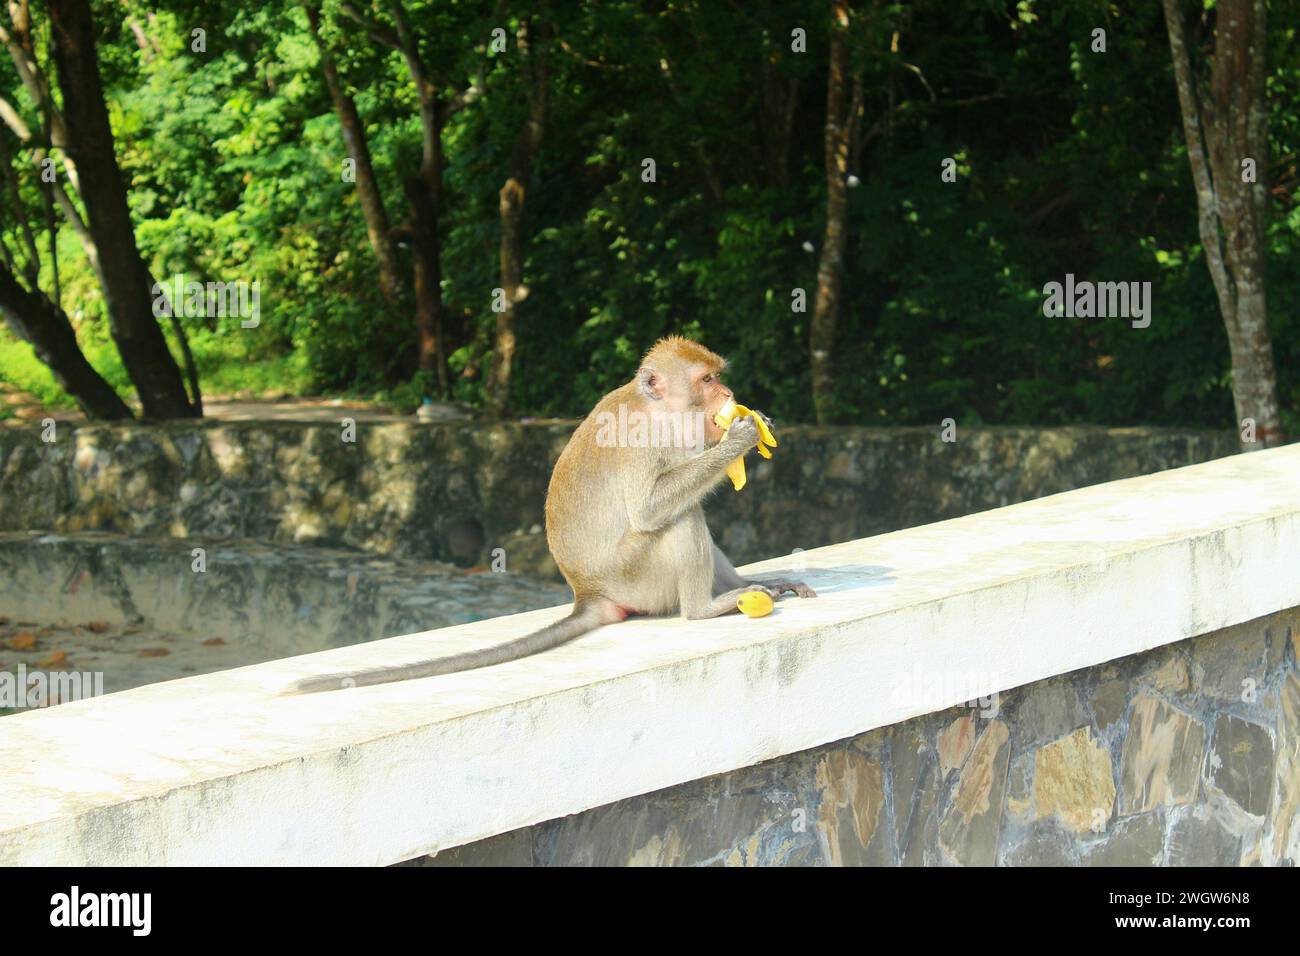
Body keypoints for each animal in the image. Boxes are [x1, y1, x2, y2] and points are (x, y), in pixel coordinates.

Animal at [292, 338, 811, 697]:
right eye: (706, 380)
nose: (728, 391)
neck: (658, 410)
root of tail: (591, 593)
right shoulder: (642, 440)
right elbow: (649, 509)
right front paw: (740, 437)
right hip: (637, 576)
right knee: (679, 519)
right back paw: (703, 608)